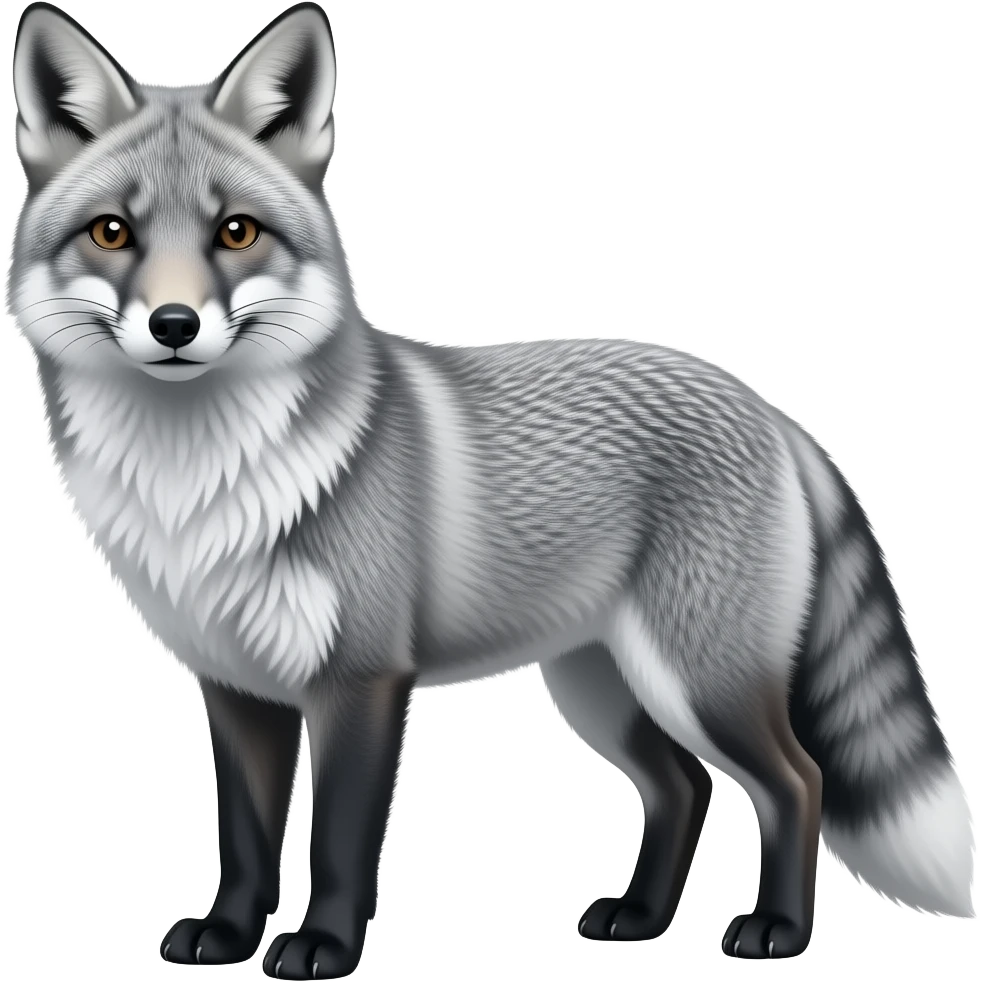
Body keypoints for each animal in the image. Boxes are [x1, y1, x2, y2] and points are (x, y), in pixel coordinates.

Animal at [6, 1, 977, 977]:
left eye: (236, 233)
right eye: (112, 233)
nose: (175, 325)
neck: (201, 491)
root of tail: (770, 409)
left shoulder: (361, 679)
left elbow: (339, 841)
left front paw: (324, 944)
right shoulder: (236, 682)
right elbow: (244, 837)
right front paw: (228, 934)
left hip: (702, 683)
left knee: (794, 781)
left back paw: (777, 928)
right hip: (602, 688)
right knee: (684, 787)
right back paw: (641, 916)